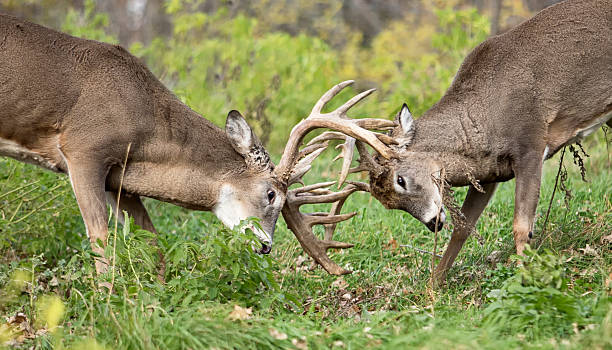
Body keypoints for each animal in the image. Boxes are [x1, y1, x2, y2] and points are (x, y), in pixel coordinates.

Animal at [0, 13, 392, 278]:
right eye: (270, 194)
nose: (265, 245)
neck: (141, 120)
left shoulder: (120, 178)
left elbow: (152, 241)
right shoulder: (82, 148)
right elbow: (100, 240)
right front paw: (106, 308)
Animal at [314, 0, 608, 284]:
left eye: (400, 180)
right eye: (387, 203)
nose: (433, 223)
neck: (485, 116)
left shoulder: (530, 145)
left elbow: (522, 227)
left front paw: (527, 279)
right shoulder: (490, 173)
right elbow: (462, 228)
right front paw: (433, 286)